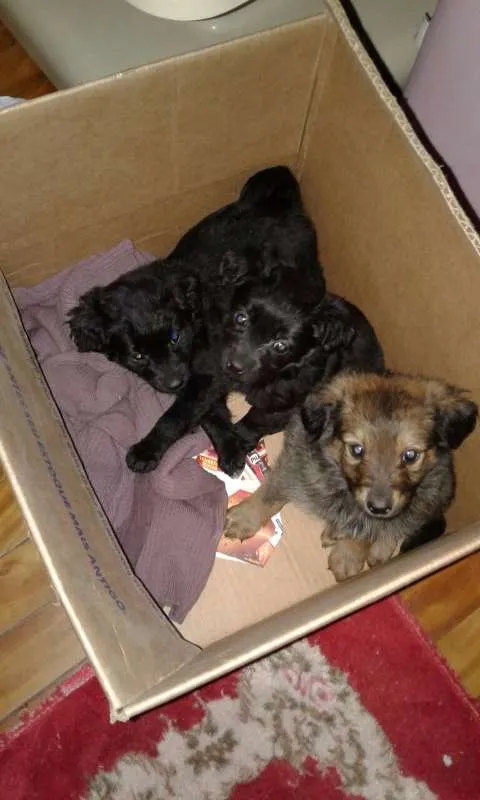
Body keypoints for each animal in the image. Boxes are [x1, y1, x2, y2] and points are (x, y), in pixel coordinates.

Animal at [223, 371, 478, 580]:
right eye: (356, 449)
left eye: (410, 455)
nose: (379, 507)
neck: (341, 483)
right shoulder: (295, 462)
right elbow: (270, 492)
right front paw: (245, 517)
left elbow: (368, 530)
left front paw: (348, 557)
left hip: (434, 492)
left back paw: (376, 549)